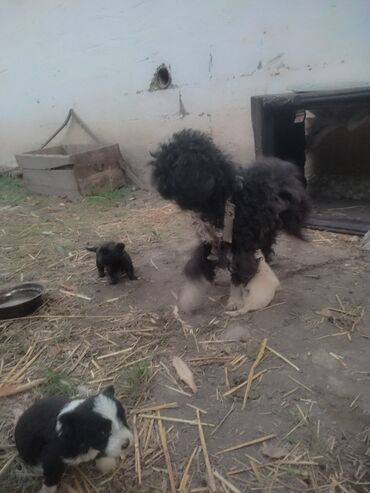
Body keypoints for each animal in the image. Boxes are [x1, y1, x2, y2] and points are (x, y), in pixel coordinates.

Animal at [150, 128, 310, 312]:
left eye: (172, 164)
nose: (158, 184)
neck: (225, 200)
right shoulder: (209, 242)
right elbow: (195, 267)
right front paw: (188, 298)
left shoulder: (240, 246)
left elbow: (238, 274)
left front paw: (235, 300)